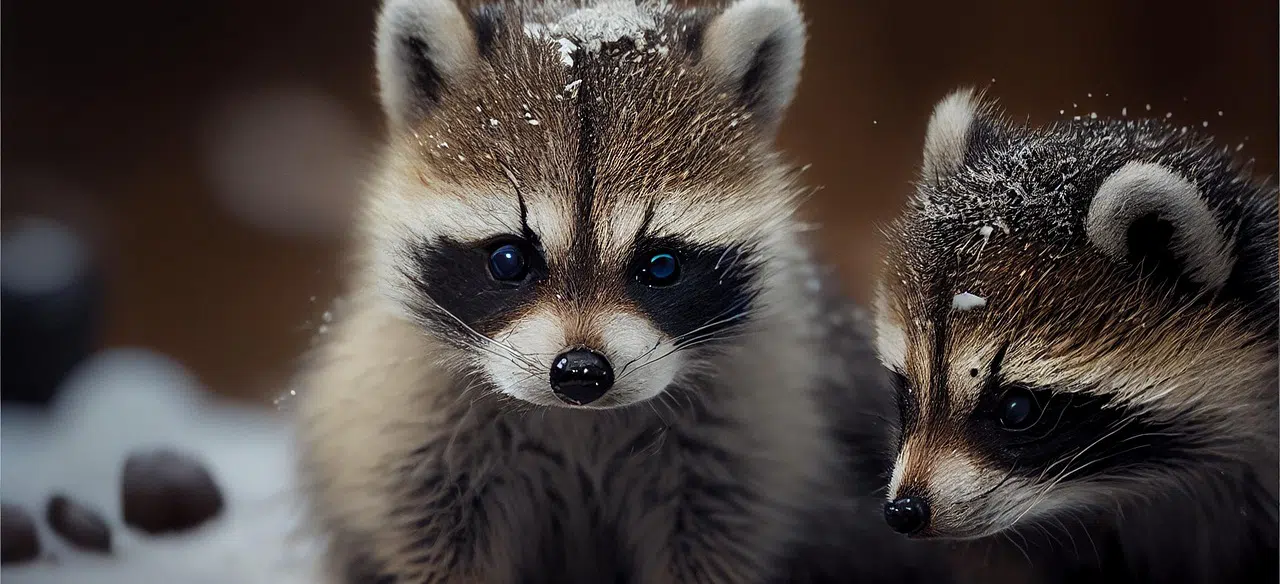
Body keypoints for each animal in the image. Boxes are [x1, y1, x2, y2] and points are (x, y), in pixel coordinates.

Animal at [292, 1, 939, 583]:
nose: (580, 373)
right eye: (509, 259)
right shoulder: (412, 434)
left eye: (661, 265)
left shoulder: (745, 442)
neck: (579, 421)